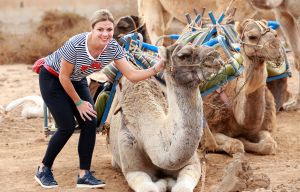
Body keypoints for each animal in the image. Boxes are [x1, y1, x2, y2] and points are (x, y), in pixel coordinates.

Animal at [109, 44, 221, 192]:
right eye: (183, 55)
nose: (215, 56)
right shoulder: (131, 164)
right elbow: (149, 188)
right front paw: (163, 182)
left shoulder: (193, 164)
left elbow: (183, 187)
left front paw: (168, 181)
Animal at [203, 18, 282, 155]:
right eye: (252, 37)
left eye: (275, 33)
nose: (277, 50)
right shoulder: (212, 125)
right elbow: (236, 145)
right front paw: (239, 140)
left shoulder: (262, 126)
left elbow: (269, 145)